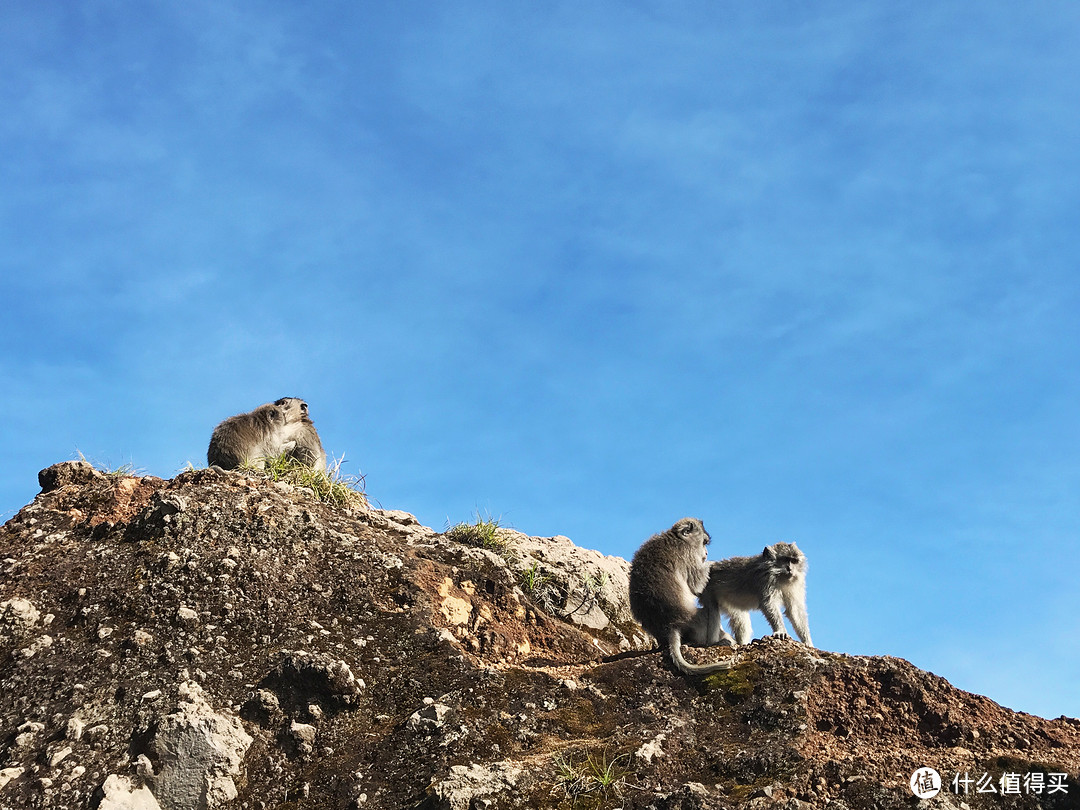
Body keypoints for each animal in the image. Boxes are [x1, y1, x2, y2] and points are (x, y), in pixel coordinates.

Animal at [630, 520, 738, 678]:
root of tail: (671, 625)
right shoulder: (688, 554)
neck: (678, 538)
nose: (706, 554)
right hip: (698, 622)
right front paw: (712, 563)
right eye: (704, 542)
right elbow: (696, 585)